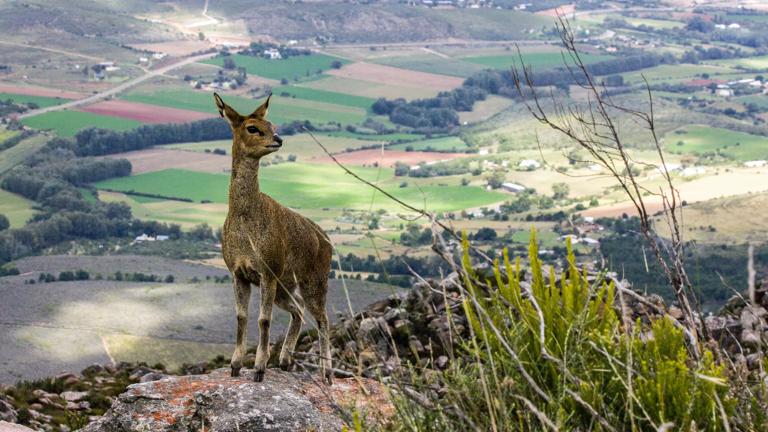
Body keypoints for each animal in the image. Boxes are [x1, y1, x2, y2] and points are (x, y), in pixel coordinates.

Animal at [216, 93, 336, 384]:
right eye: (252, 127)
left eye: (270, 124)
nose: (278, 139)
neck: (245, 220)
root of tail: (327, 241)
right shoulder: (238, 272)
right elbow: (241, 316)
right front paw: (235, 365)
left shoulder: (267, 270)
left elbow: (264, 320)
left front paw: (259, 367)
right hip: (286, 285)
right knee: (299, 310)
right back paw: (284, 359)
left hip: (314, 280)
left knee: (323, 318)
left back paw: (326, 372)